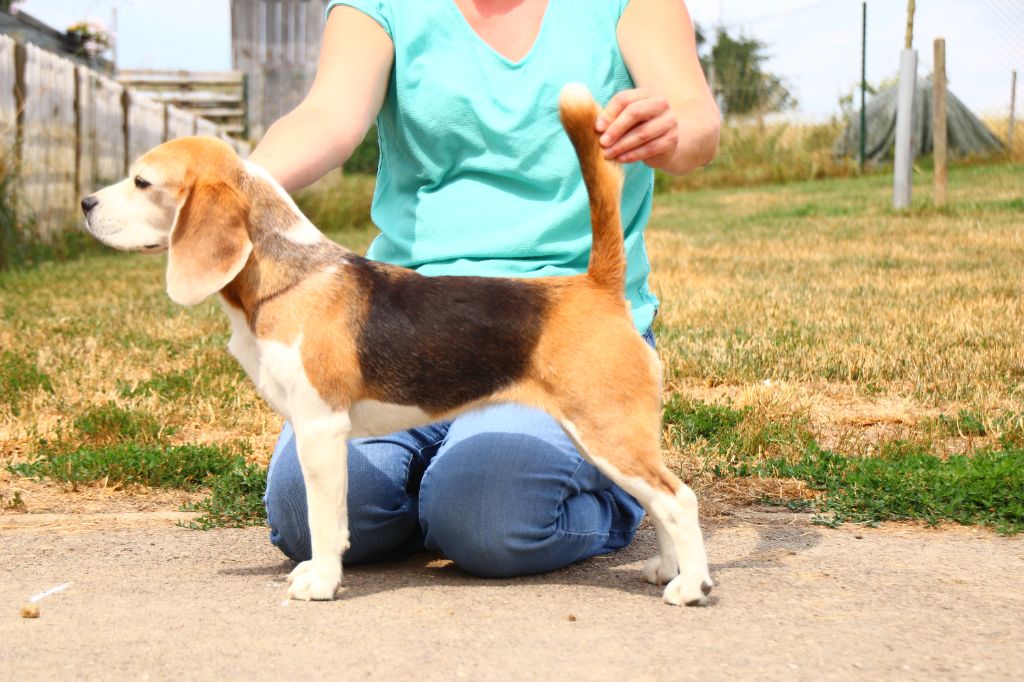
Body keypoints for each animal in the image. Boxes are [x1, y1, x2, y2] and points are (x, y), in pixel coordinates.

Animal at [81, 86, 712, 606]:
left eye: (142, 182)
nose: (86, 204)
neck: (289, 275)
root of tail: (596, 286)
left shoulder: (320, 427)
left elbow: (324, 519)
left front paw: (320, 581)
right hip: (604, 437)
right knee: (659, 502)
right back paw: (667, 570)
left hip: (607, 431)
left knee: (678, 499)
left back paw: (692, 587)